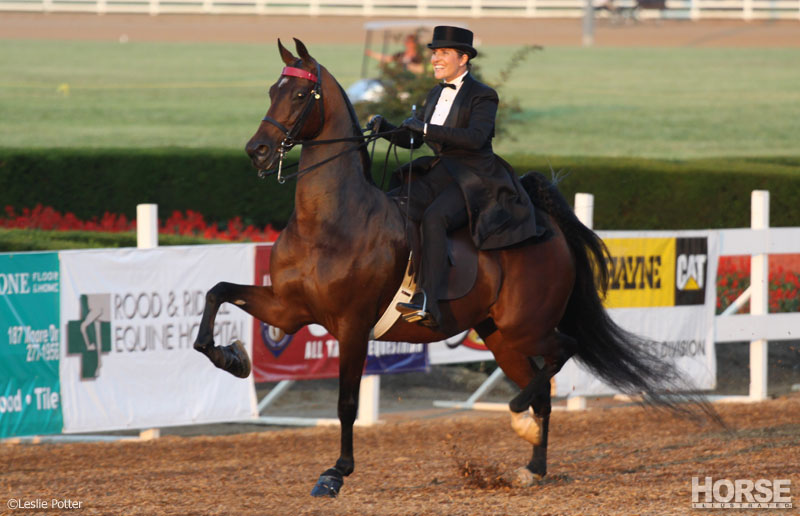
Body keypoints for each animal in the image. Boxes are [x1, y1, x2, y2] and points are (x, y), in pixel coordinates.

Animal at [195, 38, 700, 498]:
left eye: (301, 95)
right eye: (271, 91)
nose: (257, 151)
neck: (330, 220)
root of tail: (548, 226)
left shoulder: (352, 325)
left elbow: (346, 402)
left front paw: (335, 473)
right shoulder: (289, 310)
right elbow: (216, 294)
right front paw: (232, 357)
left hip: (526, 327)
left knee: (563, 353)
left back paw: (518, 421)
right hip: (500, 337)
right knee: (544, 391)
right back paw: (531, 467)